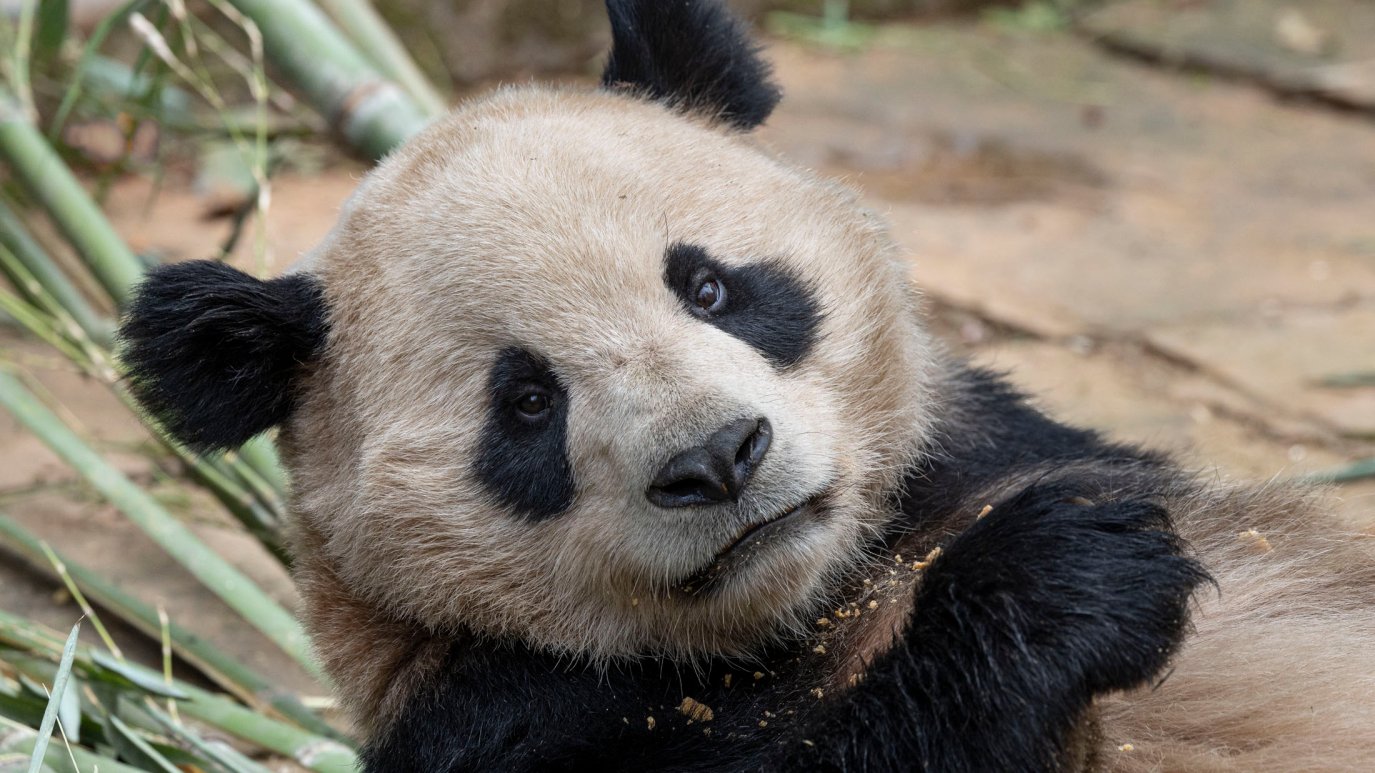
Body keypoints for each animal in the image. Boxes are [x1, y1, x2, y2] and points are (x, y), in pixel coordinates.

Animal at [117, 1, 1375, 770]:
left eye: (711, 286)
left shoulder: (998, 446)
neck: (811, 602)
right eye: (526, 402)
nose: (716, 459)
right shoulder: (496, 714)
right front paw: (1062, 575)